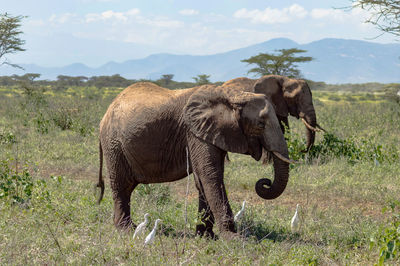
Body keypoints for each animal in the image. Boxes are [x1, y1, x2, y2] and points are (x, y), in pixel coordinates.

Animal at [95, 81, 292, 239]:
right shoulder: (194, 133)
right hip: (113, 144)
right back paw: (126, 230)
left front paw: (206, 236)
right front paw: (234, 238)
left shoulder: (211, 133)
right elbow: (210, 176)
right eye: (261, 124)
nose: (265, 182)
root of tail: (107, 111)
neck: (232, 95)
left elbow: (203, 180)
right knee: (121, 185)